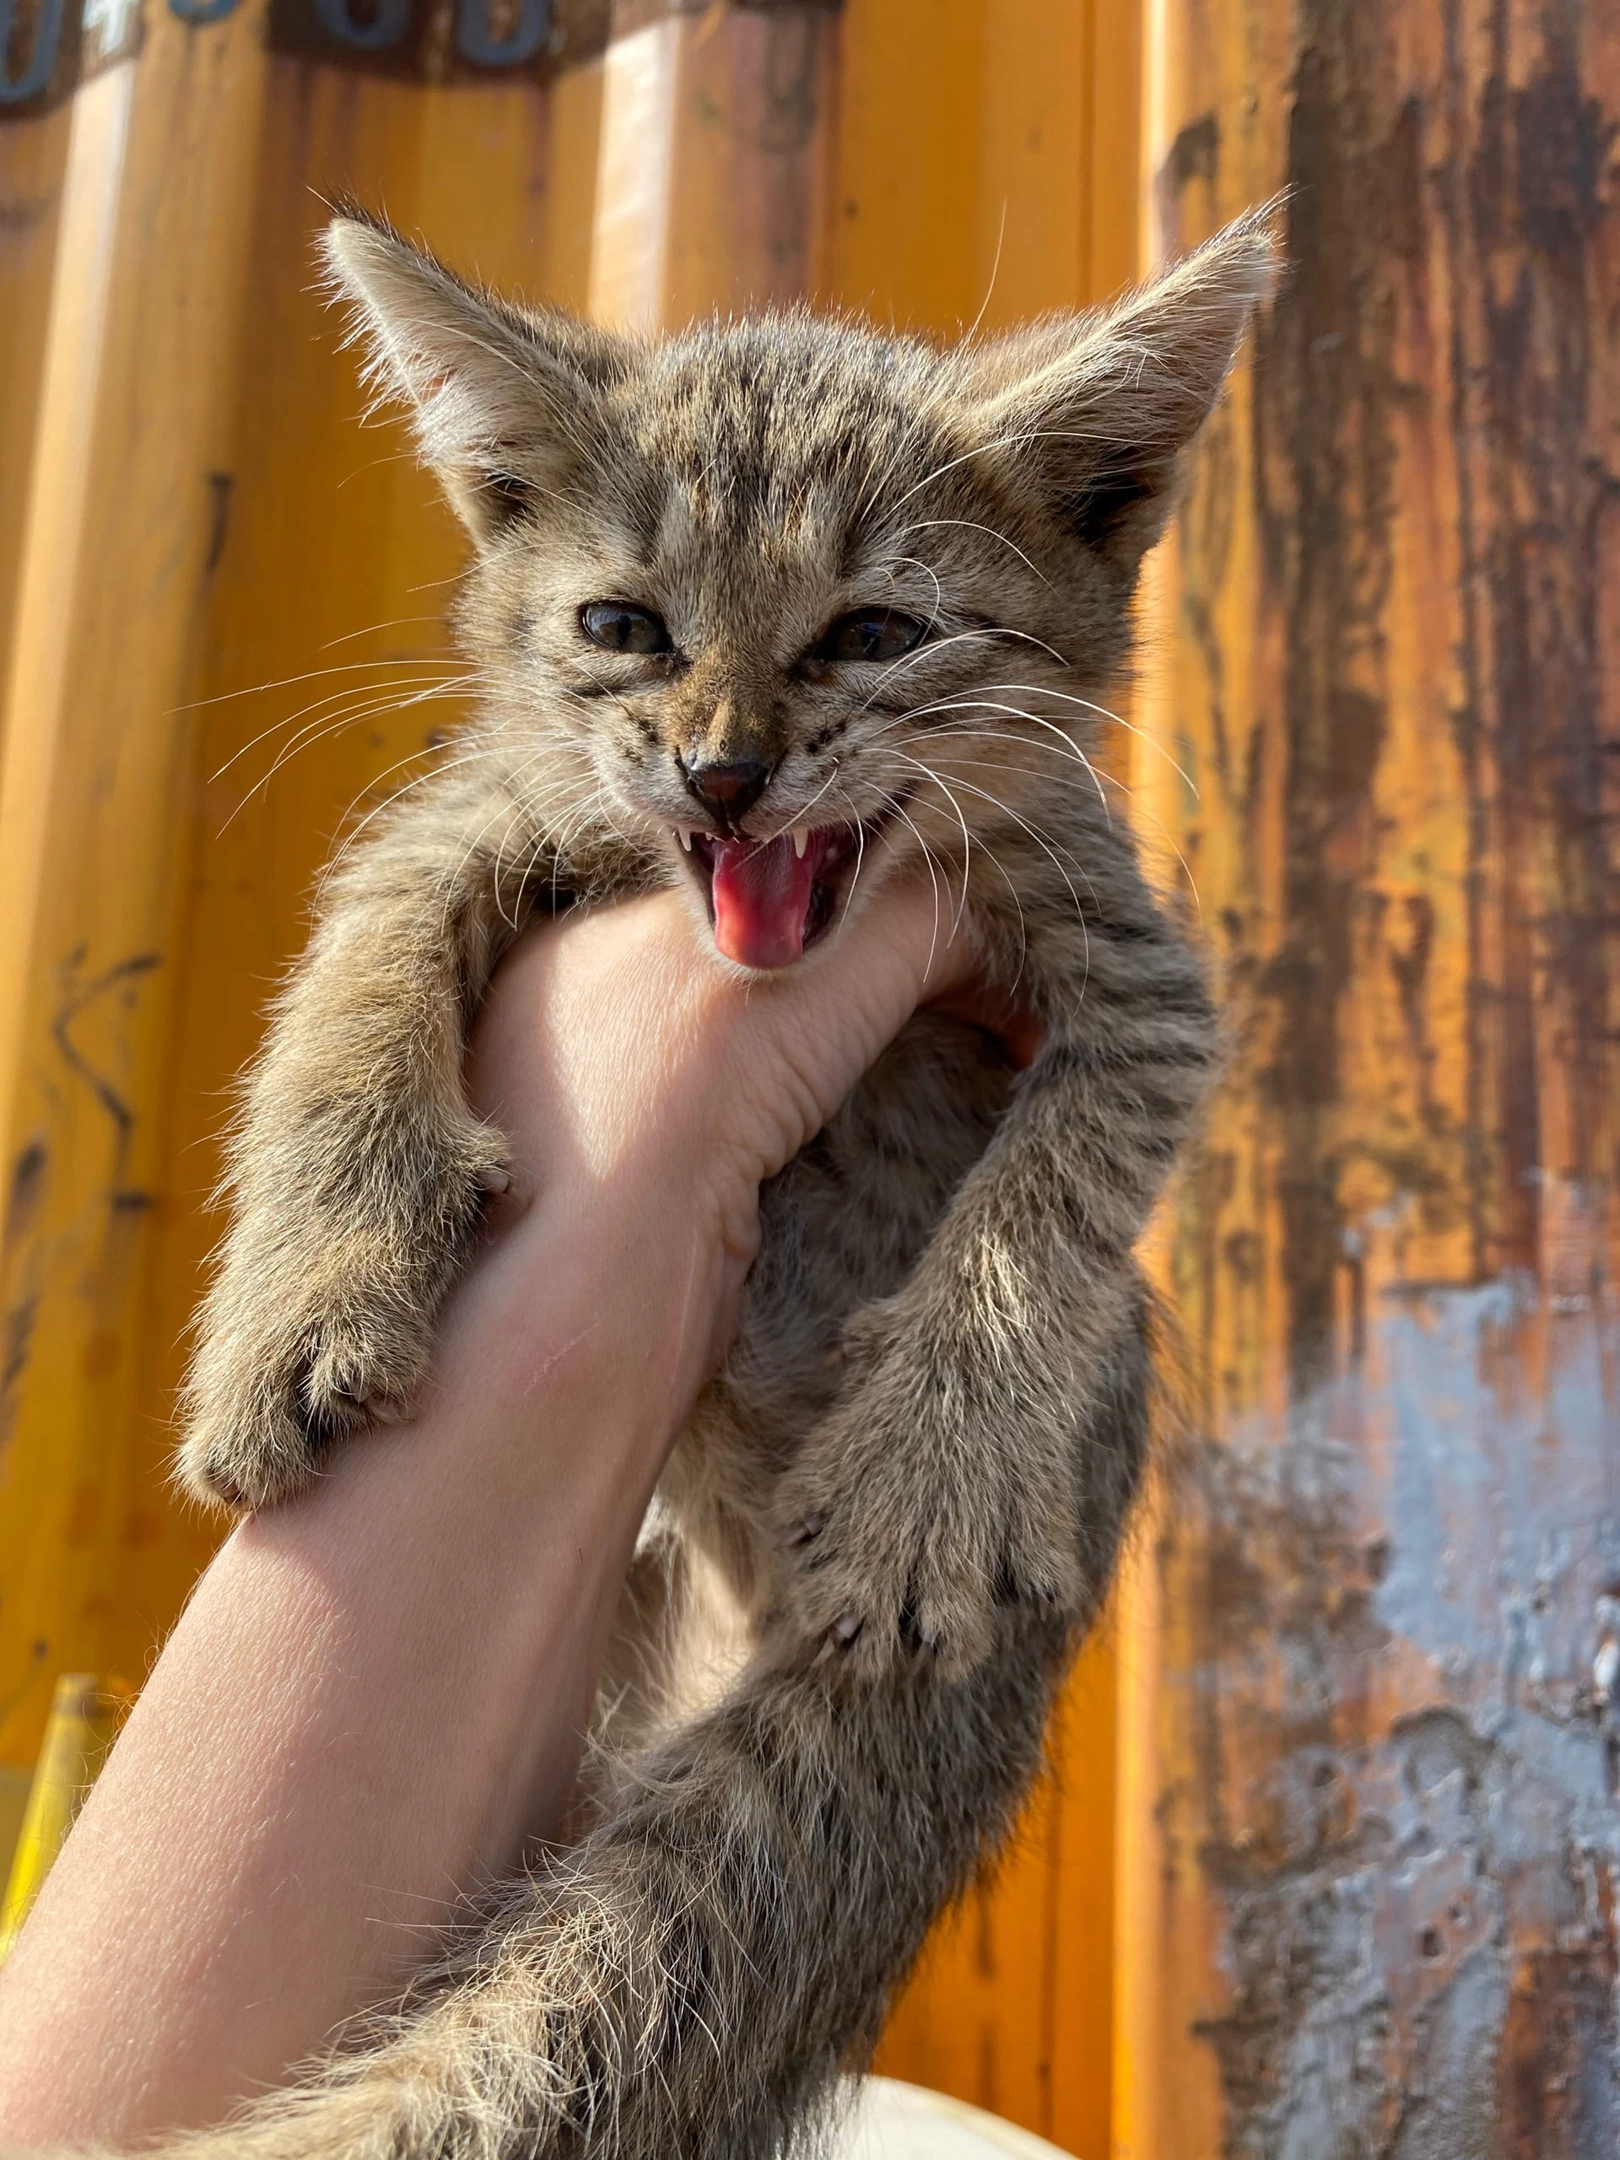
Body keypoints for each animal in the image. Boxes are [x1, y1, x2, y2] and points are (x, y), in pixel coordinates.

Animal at [171, 206, 1278, 2160]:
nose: (723, 769)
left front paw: (932, 1469)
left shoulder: (1140, 977)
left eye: (874, 633)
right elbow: (349, 986)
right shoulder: (466, 815)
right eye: (624, 627)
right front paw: (298, 1296)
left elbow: (1046, 1202)